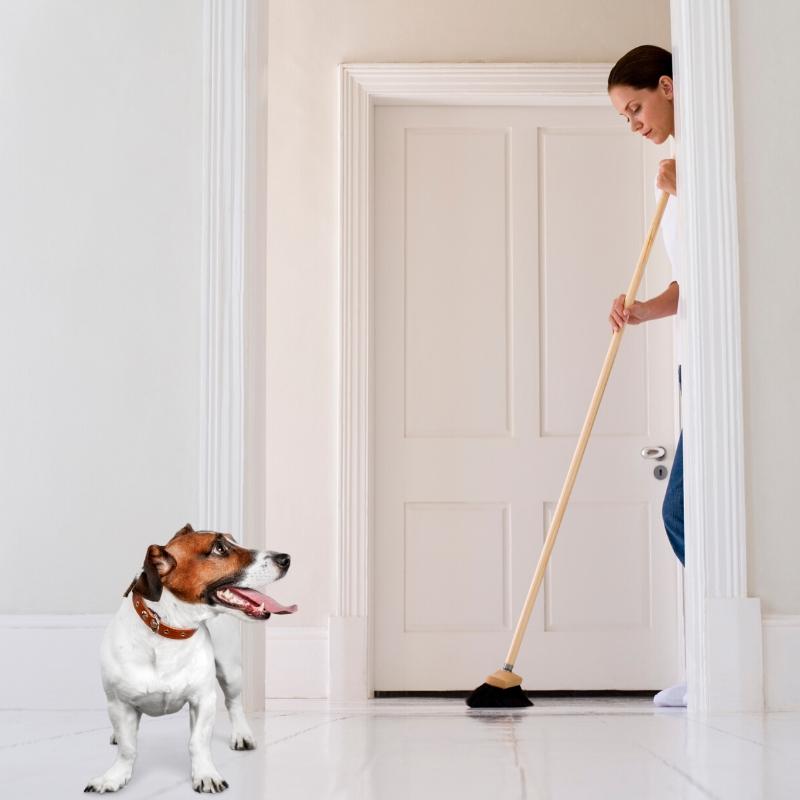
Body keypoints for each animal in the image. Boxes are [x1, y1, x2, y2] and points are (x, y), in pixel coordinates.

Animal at [85, 524, 296, 792]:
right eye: (219, 548)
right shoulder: (119, 704)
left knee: (234, 703)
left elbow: (198, 741)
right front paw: (113, 777)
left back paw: (242, 734)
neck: (168, 632)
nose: (286, 558)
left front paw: (205, 775)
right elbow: (127, 747)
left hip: (230, 672)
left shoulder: (203, 699)